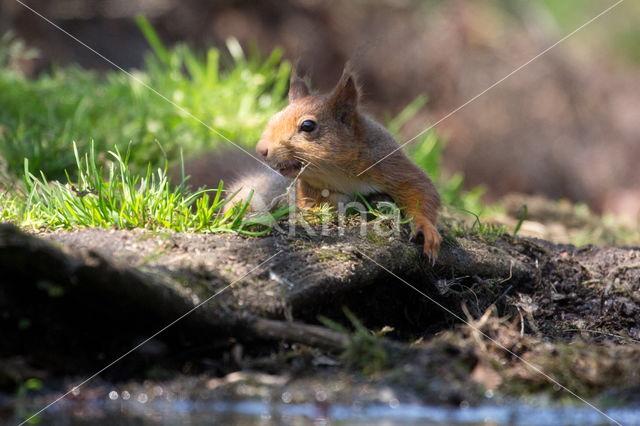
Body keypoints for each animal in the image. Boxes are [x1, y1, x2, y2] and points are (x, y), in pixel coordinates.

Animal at [225, 65, 440, 260]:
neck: (338, 174)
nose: (262, 149)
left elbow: (421, 189)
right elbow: (309, 208)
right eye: (273, 118)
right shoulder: (307, 189)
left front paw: (425, 228)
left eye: (308, 126)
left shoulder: (390, 165)